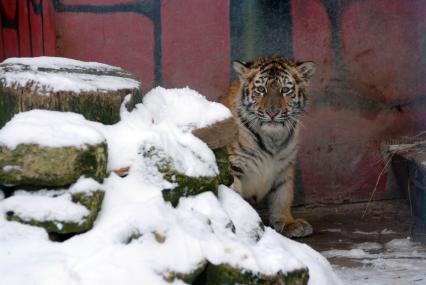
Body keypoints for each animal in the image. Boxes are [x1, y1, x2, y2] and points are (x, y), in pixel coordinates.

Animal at [221, 55, 314, 237]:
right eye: (261, 89)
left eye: (285, 90)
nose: (272, 113)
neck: (272, 138)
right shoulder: (234, 165)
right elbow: (234, 194)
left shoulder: (285, 167)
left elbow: (282, 197)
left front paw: (288, 222)